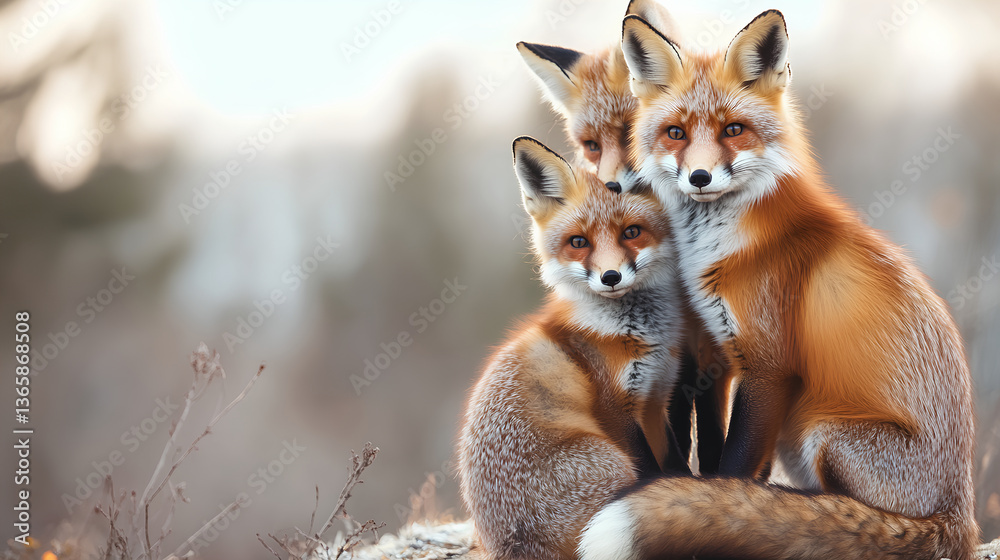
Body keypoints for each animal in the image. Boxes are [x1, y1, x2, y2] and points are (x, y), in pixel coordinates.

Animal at [458, 136, 685, 560]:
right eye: (579, 242)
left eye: (632, 232)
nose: (611, 276)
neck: (641, 334)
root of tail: (516, 545)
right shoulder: (615, 407)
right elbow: (654, 470)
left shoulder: (656, 399)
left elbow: (677, 464)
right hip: (610, 460)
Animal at [576, 10, 978, 560]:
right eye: (676, 132)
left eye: (734, 130)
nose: (699, 177)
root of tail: (961, 518)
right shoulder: (728, 354)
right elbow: (743, 468)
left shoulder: (770, 365)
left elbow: (735, 467)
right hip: (798, 430)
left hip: (822, 431)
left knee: (858, 520)